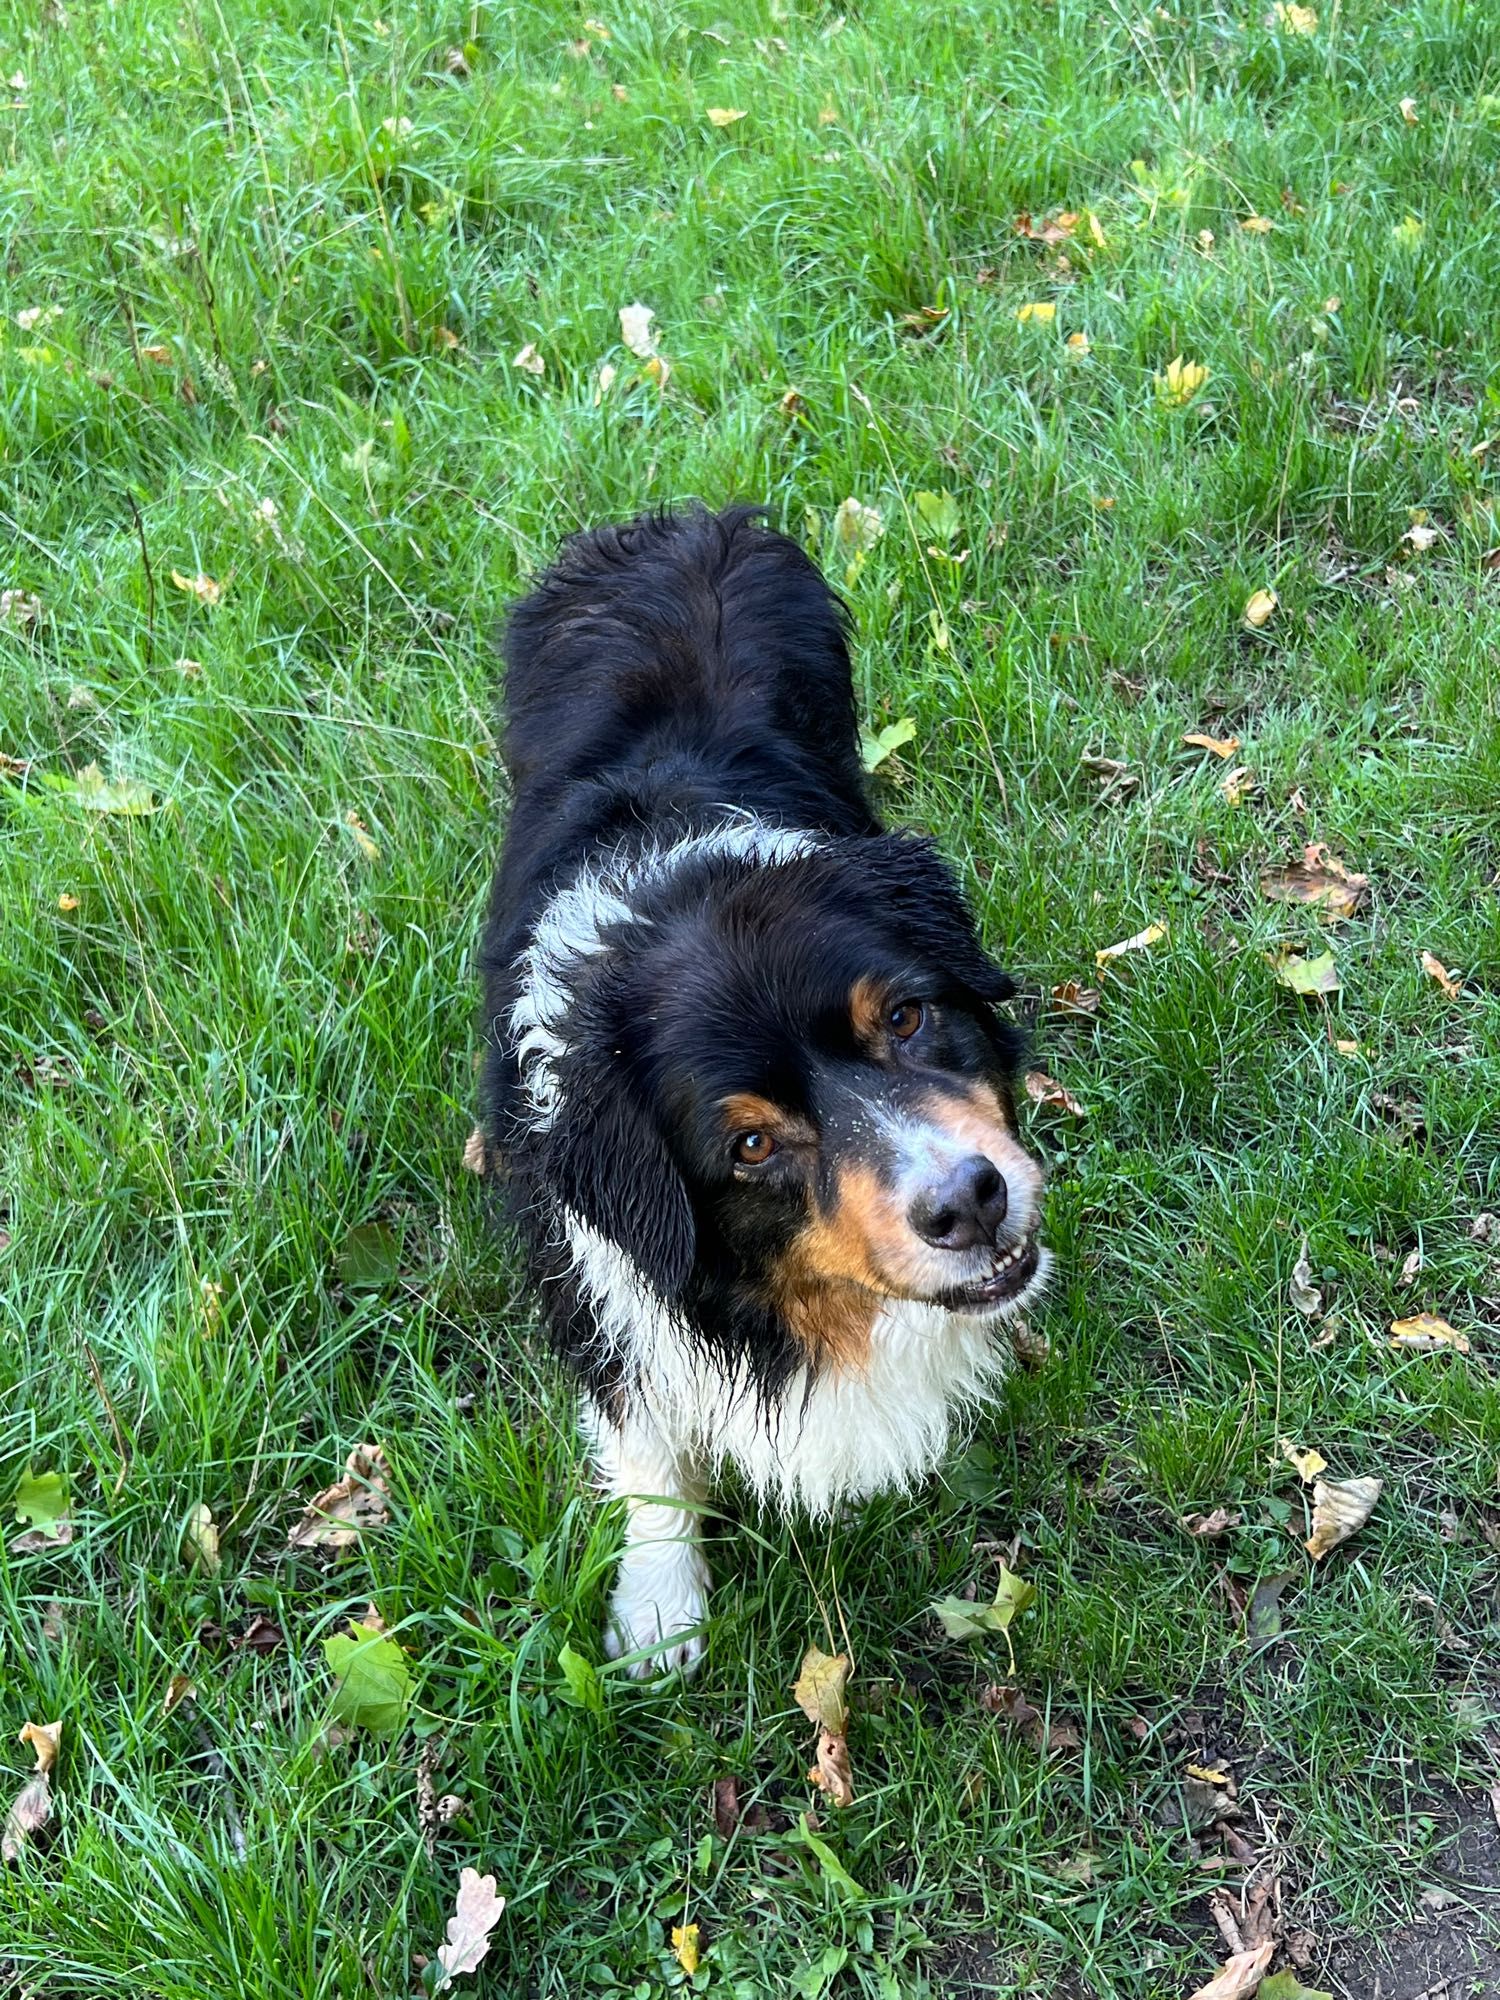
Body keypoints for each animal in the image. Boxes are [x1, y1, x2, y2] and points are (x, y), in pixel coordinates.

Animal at [478, 500, 1048, 1672]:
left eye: (907, 1017)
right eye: (750, 1144)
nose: (970, 1202)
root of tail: (675, 519)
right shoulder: (590, 1282)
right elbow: (647, 1451)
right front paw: (660, 1609)